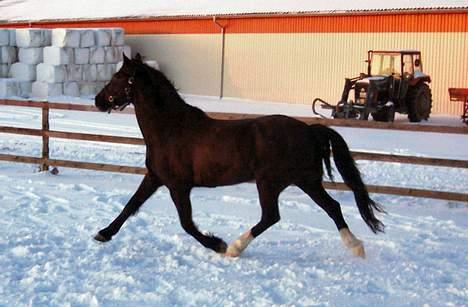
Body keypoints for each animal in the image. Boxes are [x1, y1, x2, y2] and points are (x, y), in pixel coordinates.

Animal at [94, 54, 384, 260]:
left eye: (118, 77)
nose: (98, 100)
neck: (171, 128)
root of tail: (309, 130)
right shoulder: (155, 177)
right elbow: (130, 205)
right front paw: (103, 234)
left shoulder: (178, 186)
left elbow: (187, 223)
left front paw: (217, 244)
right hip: (306, 181)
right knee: (331, 207)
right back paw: (356, 247)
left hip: (270, 183)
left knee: (271, 216)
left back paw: (235, 247)